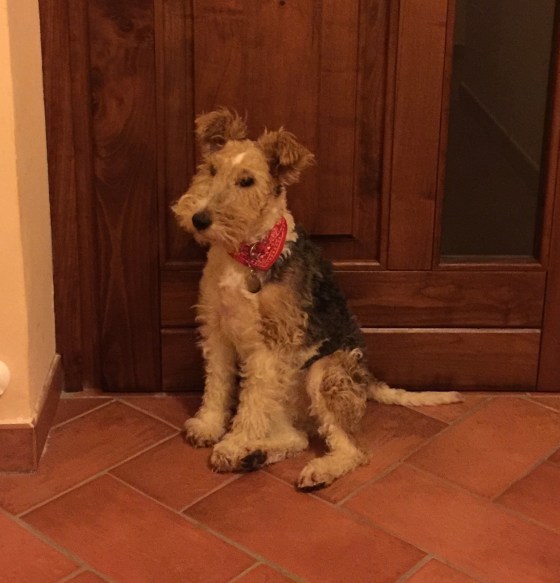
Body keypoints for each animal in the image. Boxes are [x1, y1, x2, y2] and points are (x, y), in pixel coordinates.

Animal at [172, 108, 462, 491]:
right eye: (211, 168)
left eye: (247, 181)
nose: (199, 218)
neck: (247, 253)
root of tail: (368, 379)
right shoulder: (216, 329)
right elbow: (217, 384)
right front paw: (208, 426)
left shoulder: (271, 343)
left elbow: (250, 402)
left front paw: (233, 442)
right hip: (292, 399)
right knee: (295, 437)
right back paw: (255, 455)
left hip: (323, 373)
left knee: (353, 449)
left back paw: (311, 469)